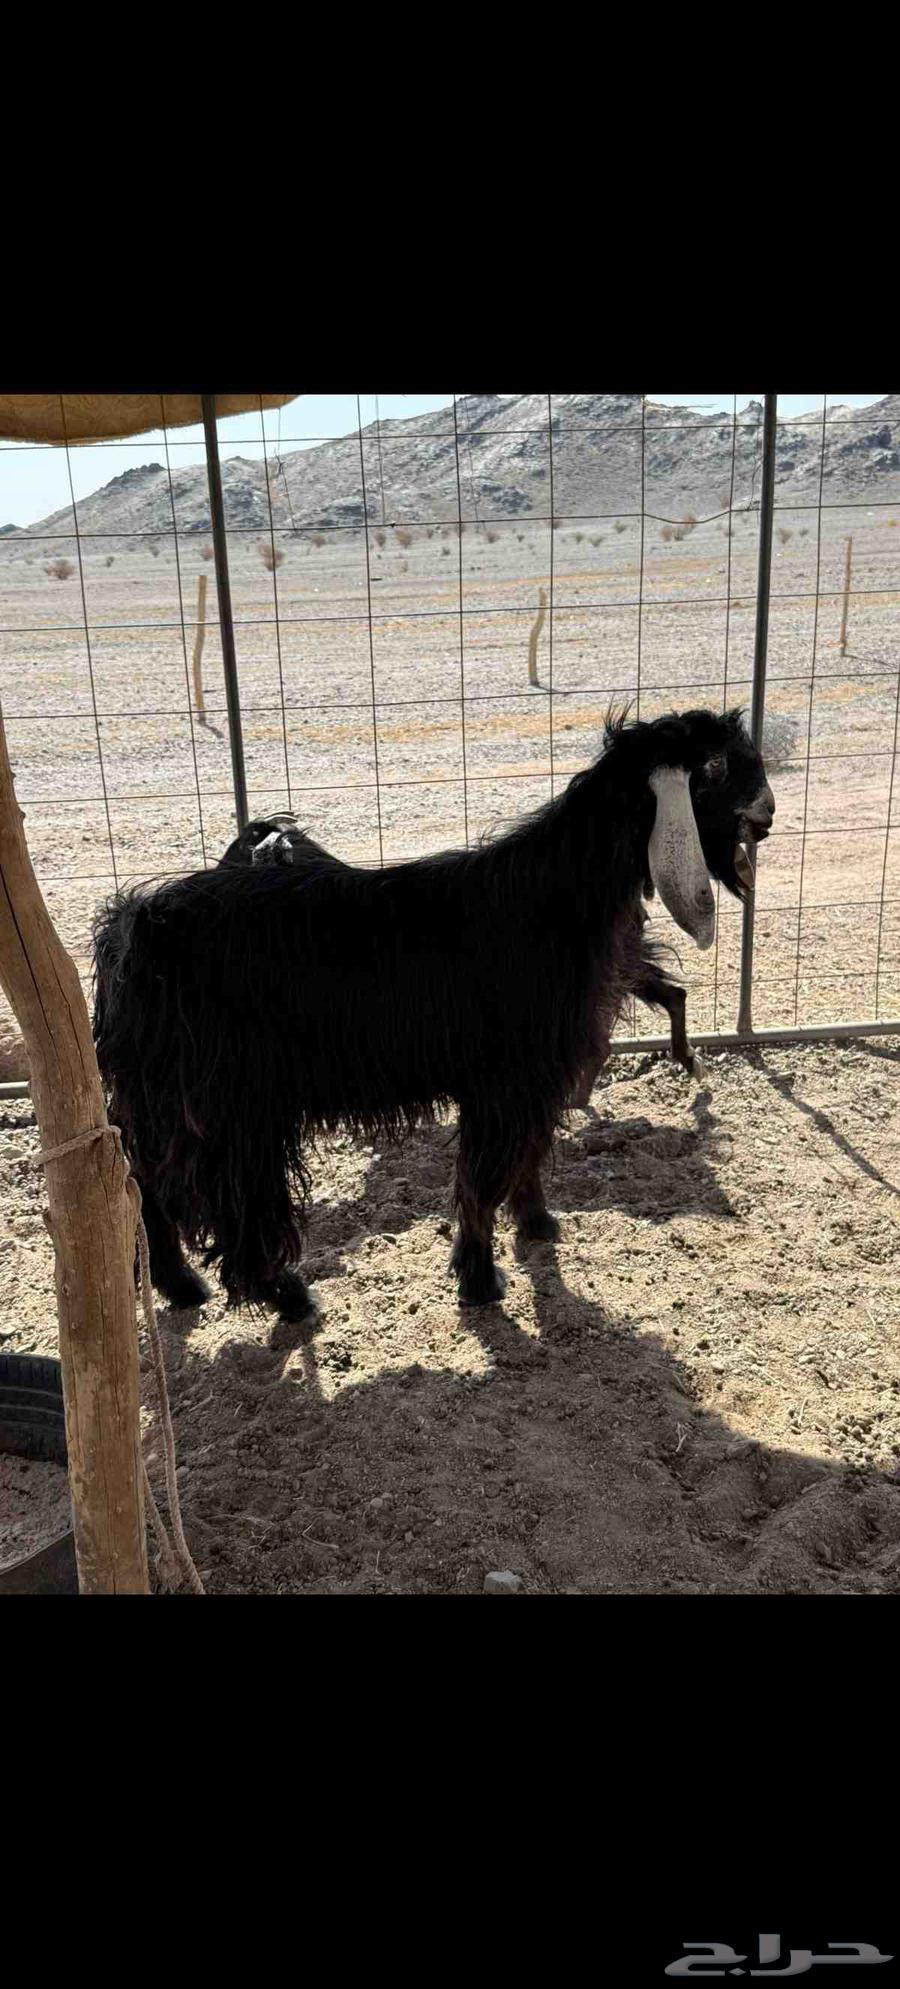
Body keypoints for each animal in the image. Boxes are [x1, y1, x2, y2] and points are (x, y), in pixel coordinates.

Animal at [92, 707, 774, 1317]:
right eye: (716, 769)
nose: (767, 815)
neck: (553, 897)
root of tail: (134, 927)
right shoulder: (506, 1078)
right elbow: (483, 1177)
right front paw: (479, 1279)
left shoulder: (537, 1077)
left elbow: (527, 1156)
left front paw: (538, 1225)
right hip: (223, 1108)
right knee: (224, 1207)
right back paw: (286, 1295)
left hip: (166, 1105)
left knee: (143, 1186)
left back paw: (183, 1286)